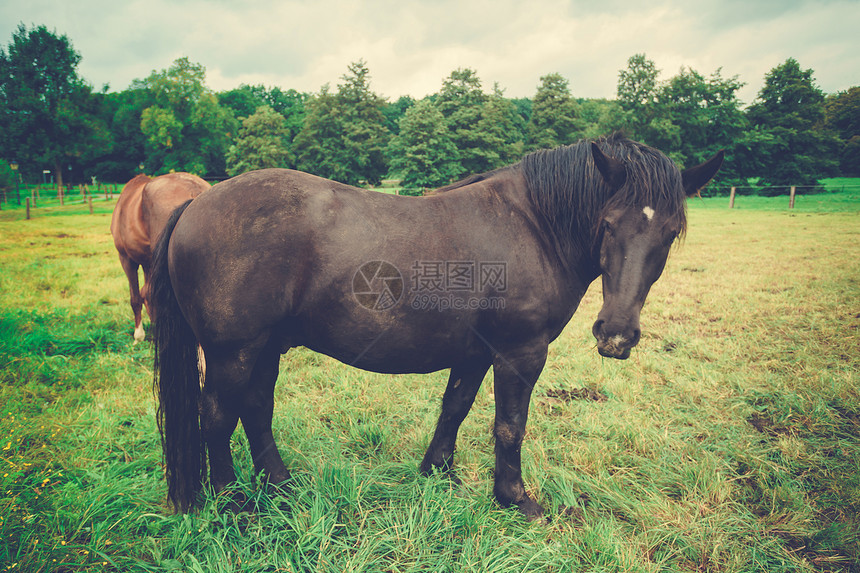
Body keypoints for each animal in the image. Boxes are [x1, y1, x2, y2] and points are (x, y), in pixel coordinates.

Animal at [151, 135, 724, 520]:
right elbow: (510, 425)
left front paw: (437, 474)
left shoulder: (474, 352)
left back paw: (280, 486)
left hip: (264, 348)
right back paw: (233, 504)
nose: (616, 335)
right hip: (234, 351)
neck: (532, 227)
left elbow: (455, 407)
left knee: (255, 408)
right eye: (607, 224)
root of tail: (196, 203)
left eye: (671, 233)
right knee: (217, 417)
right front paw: (516, 500)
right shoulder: (520, 352)